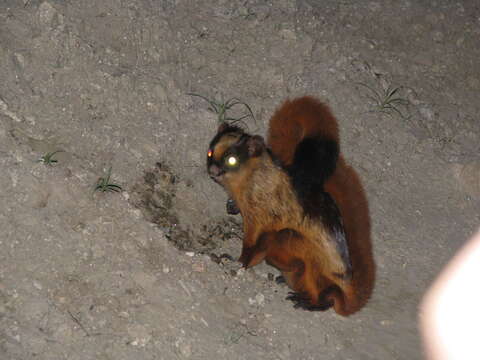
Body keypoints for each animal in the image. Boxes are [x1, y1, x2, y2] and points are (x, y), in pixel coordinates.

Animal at [204, 95, 374, 316]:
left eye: (231, 160)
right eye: (210, 152)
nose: (212, 170)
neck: (251, 179)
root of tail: (348, 291)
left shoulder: (259, 218)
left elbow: (251, 247)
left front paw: (237, 262)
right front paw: (231, 207)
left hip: (299, 250)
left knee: (328, 296)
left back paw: (310, 302)